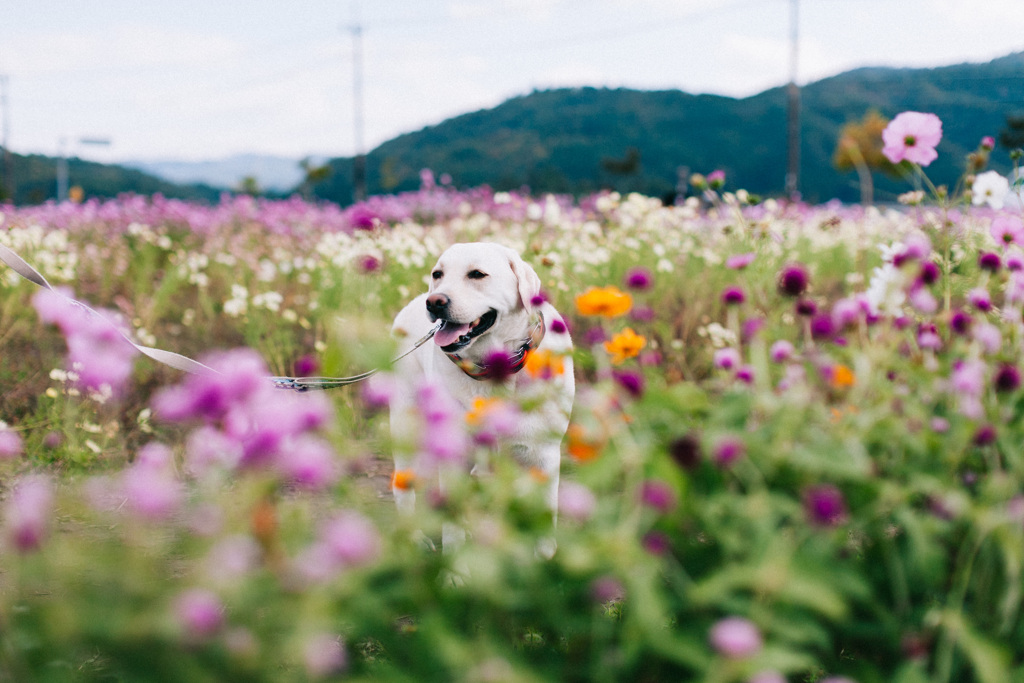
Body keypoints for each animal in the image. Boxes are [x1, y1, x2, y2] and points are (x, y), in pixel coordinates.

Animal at [387, 242, 573, 548]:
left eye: (477, 274)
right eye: (438, 274)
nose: (434, 302)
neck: (495, 367)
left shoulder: (543, 454)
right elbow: (452, 524)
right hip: (405, 424)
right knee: (404, 487)